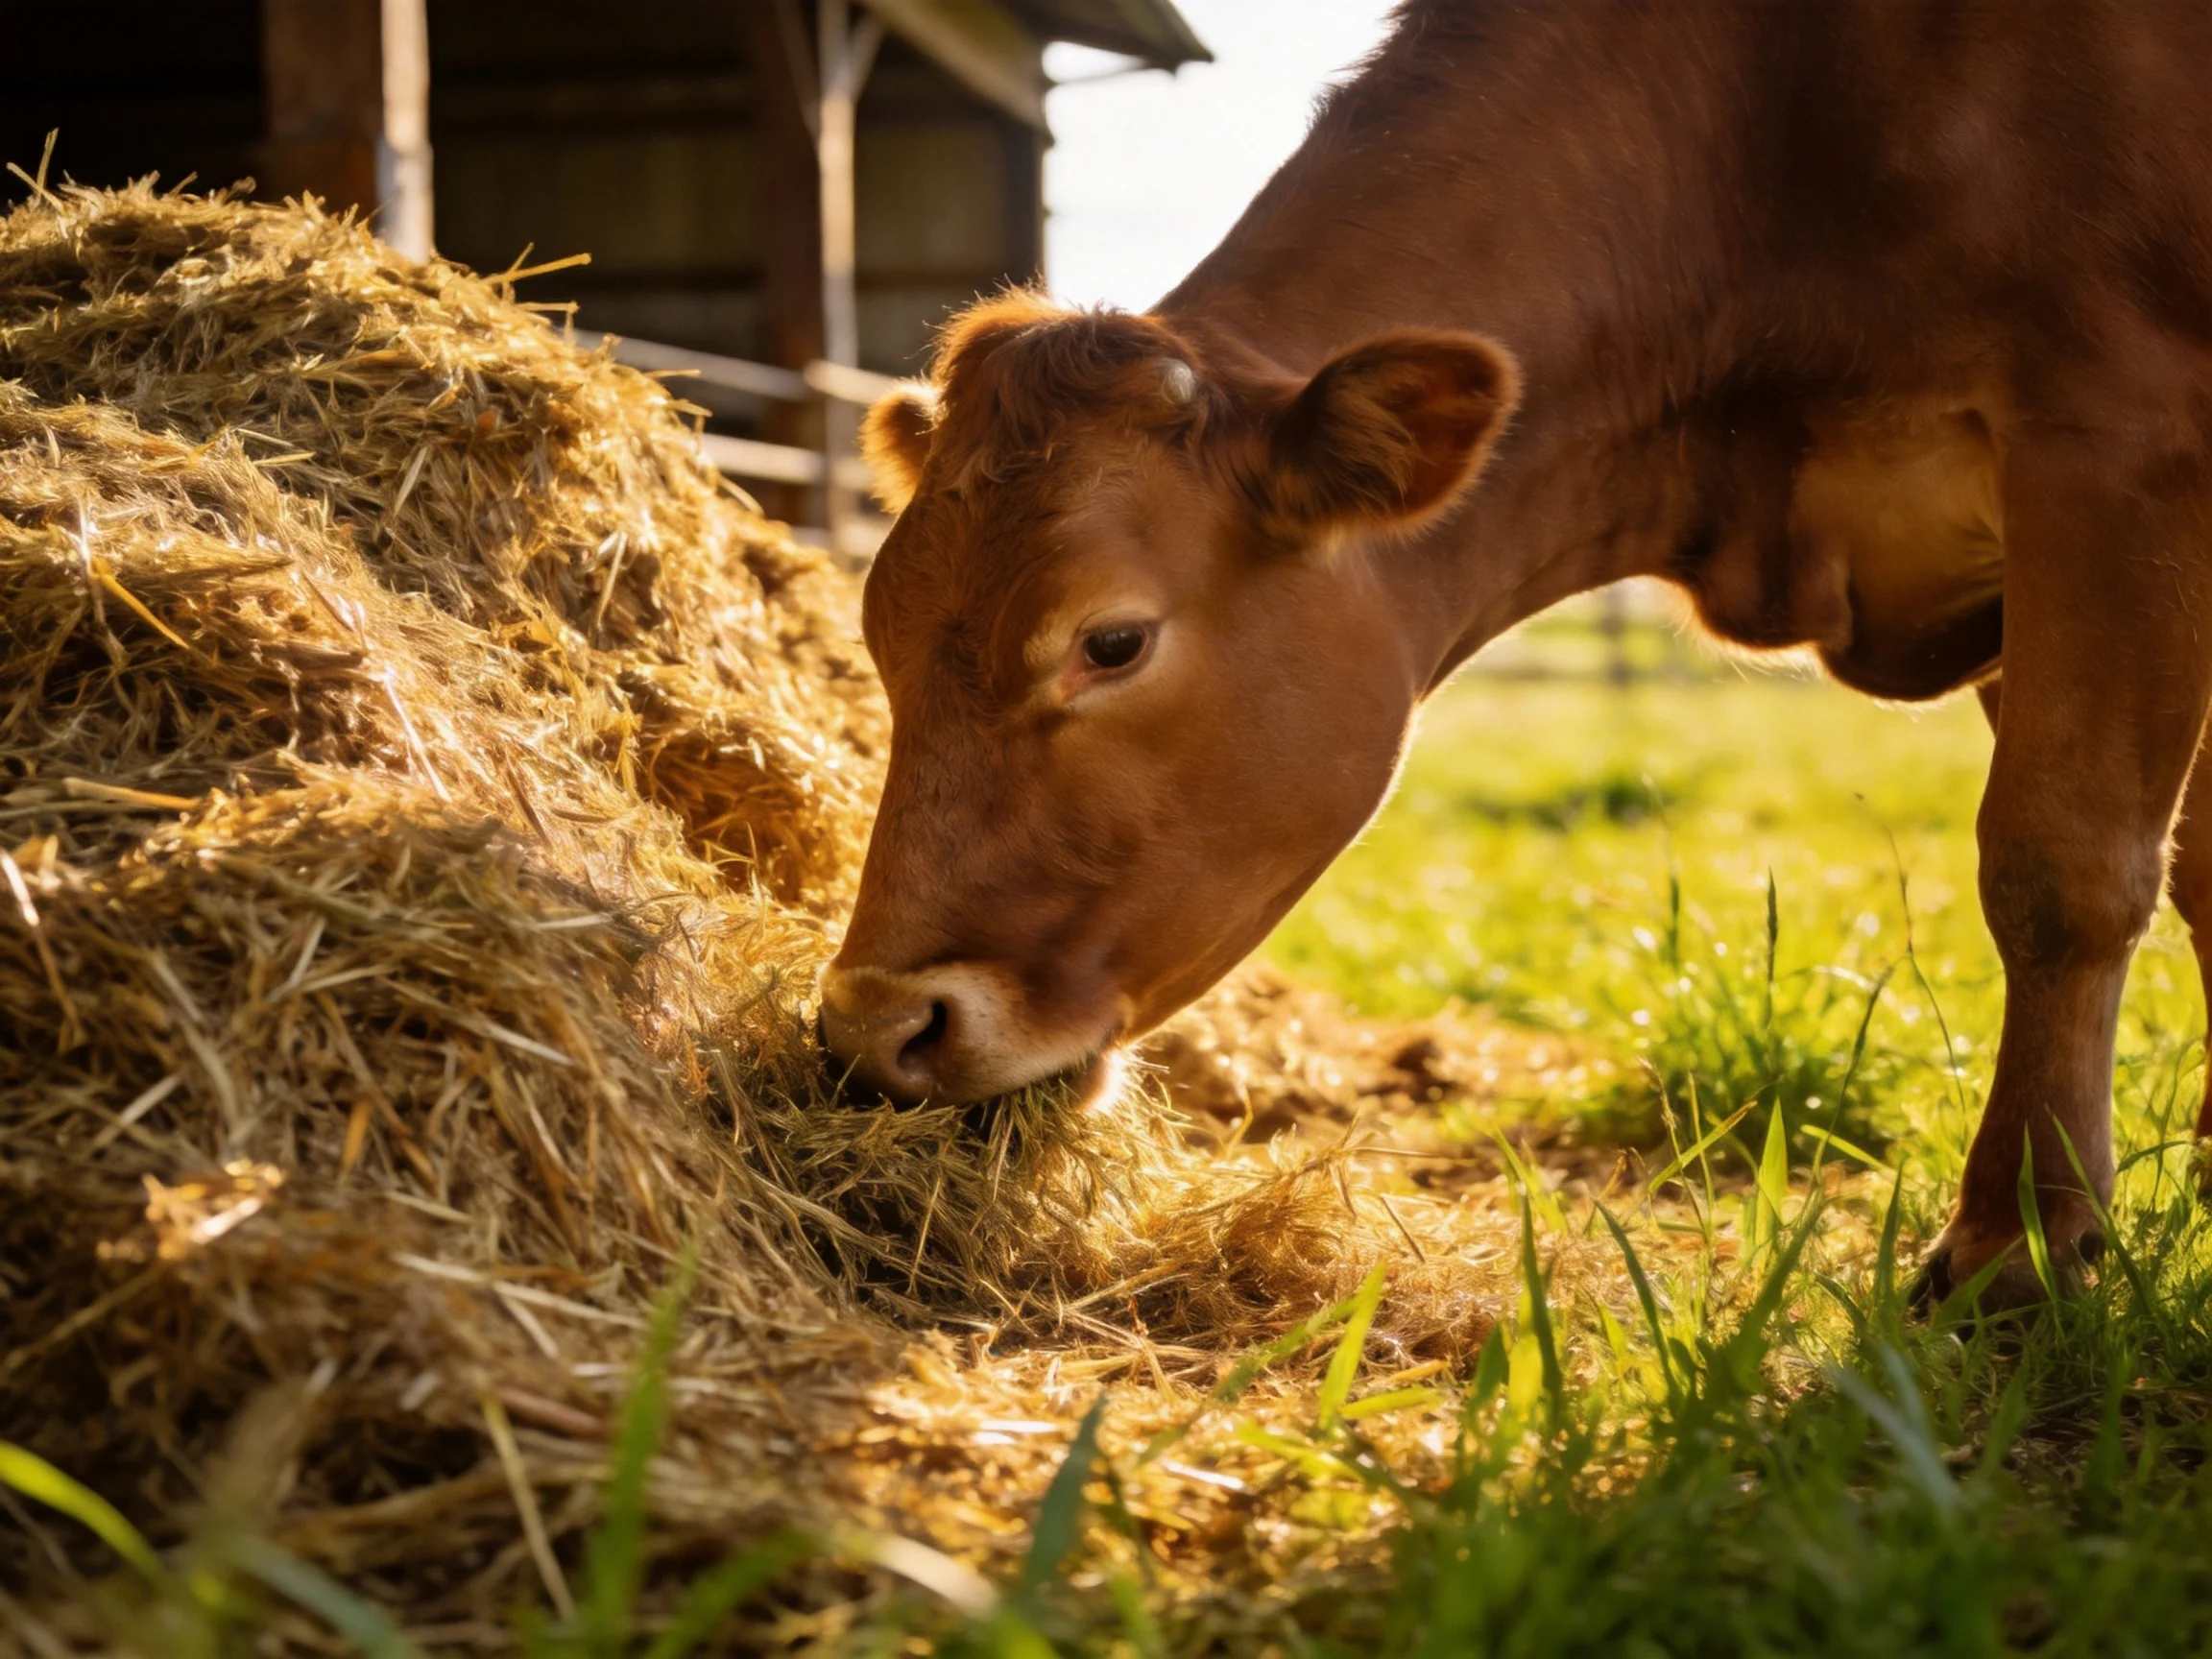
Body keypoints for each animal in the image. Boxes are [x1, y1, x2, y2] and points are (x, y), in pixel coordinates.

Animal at [817, 0, 2212, 1308]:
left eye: (1112, 641)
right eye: (880, 636)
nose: (878, 1028)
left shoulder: (2114, 448)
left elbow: (2061, 868)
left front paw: (2018, 1244)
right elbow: (2187, 867)